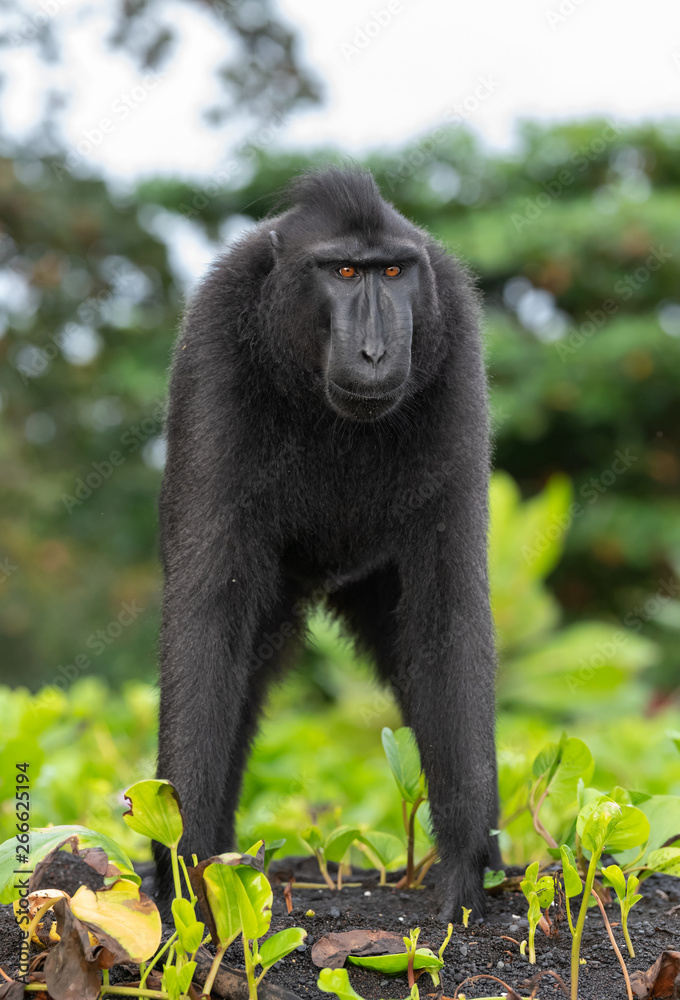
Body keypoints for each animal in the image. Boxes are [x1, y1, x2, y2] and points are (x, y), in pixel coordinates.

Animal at [154, 166, 500, 920]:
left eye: (392, 272)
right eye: (343, 271)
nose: (374, 351)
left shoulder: (455, 339)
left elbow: (450, 613)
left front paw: (467, 867)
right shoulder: (216, 342)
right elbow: (207, 618)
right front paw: (182, 879)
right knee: (241, 664)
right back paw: (219, 859)